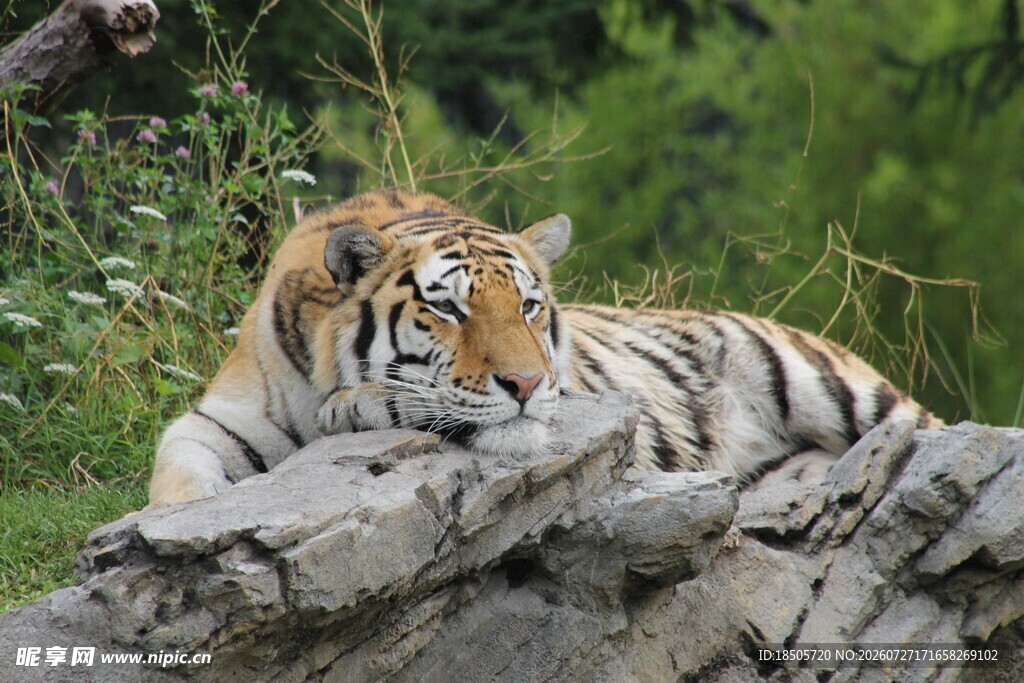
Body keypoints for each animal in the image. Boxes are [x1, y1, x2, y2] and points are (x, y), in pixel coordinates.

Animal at [148, 189, 941, 506]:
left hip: (830, 385)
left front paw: (358, 405)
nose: (528, 386)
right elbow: (176, 475)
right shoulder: (218, 419)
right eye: (447, 307)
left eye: (529, 307)